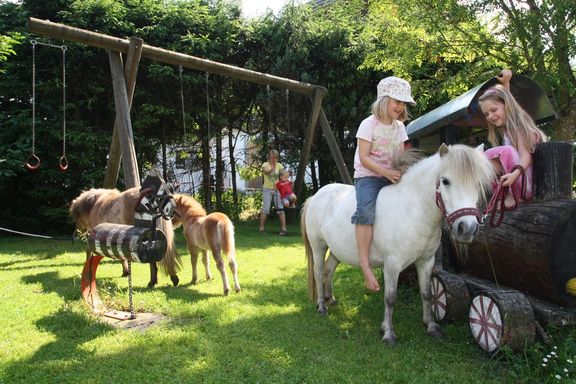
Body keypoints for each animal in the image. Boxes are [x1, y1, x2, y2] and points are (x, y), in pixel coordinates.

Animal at [302, 143, 496, 344]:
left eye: (478, 184)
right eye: (445, 181)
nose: (467, 228)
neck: (413, 210)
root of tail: (316, 196)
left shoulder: (426, 261)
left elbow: (427, 294)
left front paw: (431, 326)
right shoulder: (392, 264)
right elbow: (390, 298)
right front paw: (388, 333)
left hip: (337, 250)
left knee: (328, 269)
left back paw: (330, 299)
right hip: (318, 246)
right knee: (318, 272)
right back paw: (321, 306)